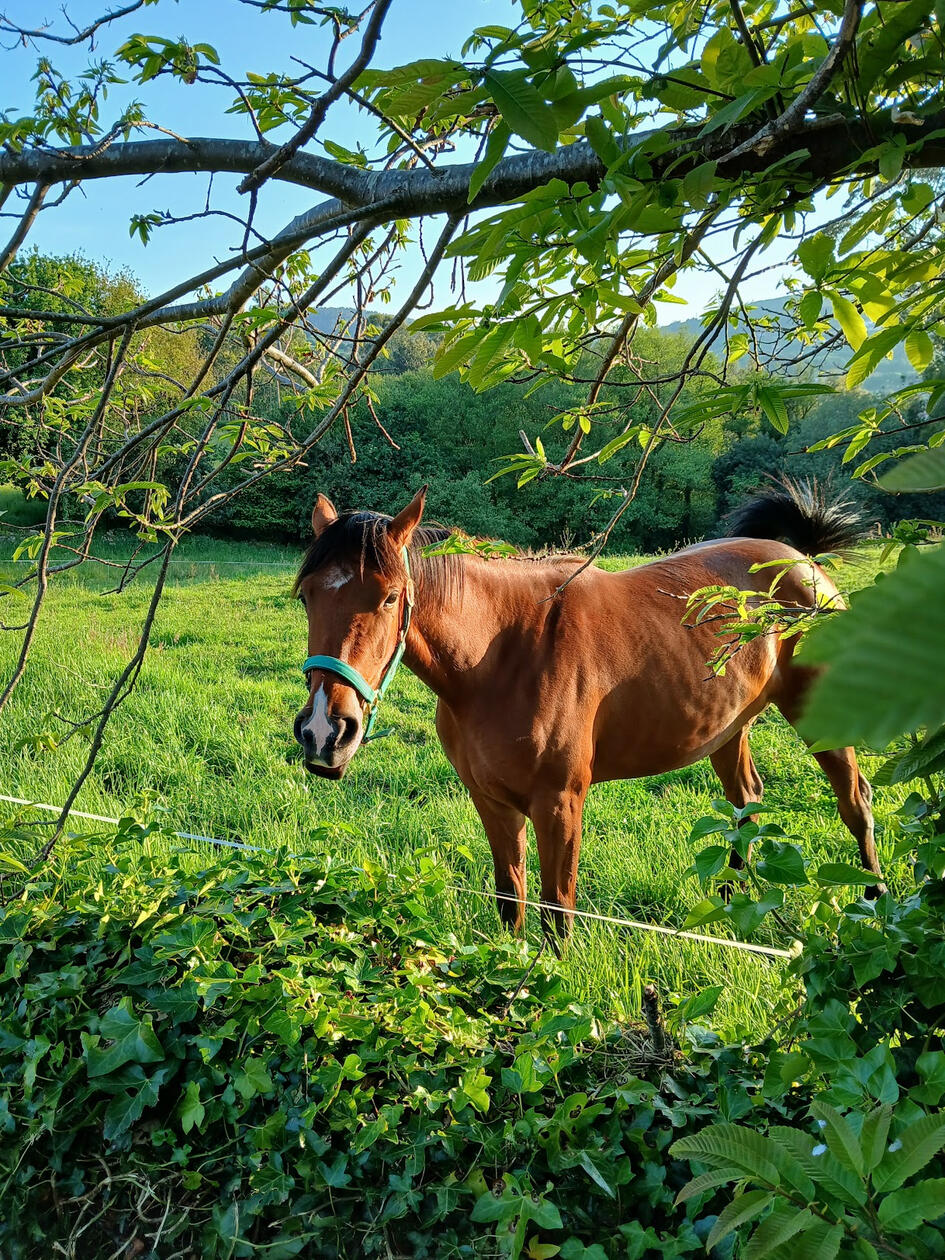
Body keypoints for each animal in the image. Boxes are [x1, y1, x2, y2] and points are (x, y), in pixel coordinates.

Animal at [292, 480, 883, 938]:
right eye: (305, 596)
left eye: (390, 597)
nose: (324, 731)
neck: (504, 653)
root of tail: (804, 563)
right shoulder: (492, 802)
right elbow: (512, 902)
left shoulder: (559, 804)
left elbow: (556, 911)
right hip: (727, 729)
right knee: (747, 801)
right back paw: (730, 898)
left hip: (818, 720)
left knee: (855, 800)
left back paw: (874, 902)